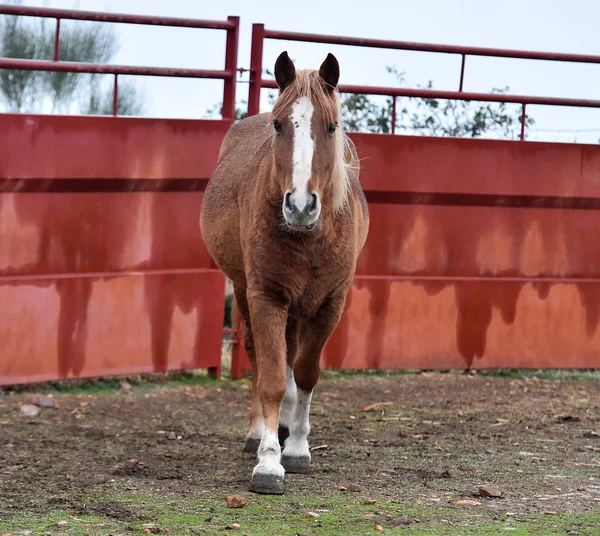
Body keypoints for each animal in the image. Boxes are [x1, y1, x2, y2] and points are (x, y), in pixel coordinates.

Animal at [202, 51, 368, 494]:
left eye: (331, 126)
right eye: (279, 125)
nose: (299, 205)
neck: (307, 236)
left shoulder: (329, 304)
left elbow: (306, 374)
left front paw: (296, 448)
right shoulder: (267, 297)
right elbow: (274, 378)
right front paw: (268, 462)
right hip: (246, 293)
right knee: (259, 359)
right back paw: (259, 432)